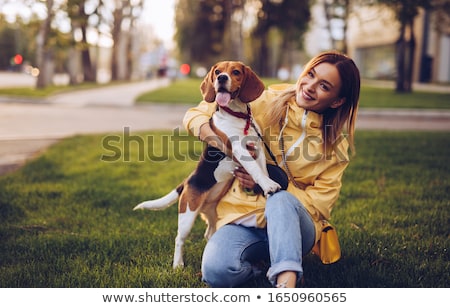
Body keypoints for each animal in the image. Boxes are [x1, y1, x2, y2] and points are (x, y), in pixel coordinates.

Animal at [134, 60, 282, 268]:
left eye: (236, 72)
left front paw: (267, 187)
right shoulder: (238, 148)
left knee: (208, 232)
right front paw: (269, 186)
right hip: (187, 213)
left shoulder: (258, 148)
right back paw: (178, 265)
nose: (221, 78)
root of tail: (187, 181)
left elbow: (262, 170)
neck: (238, 116)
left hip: (212, 213)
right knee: (179, 239)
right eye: (218, 71)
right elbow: (255, 170)